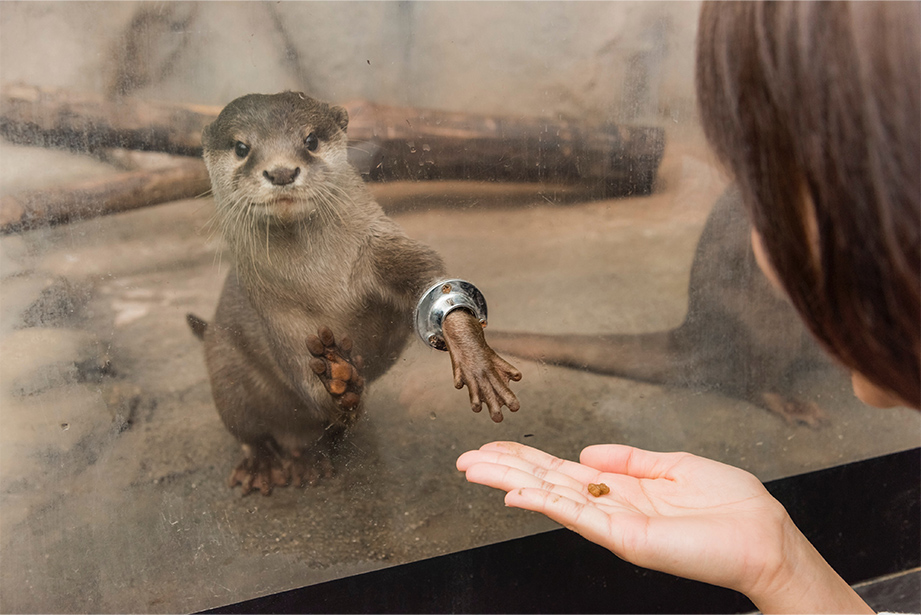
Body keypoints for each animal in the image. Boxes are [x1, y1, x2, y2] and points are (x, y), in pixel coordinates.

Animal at [189, 91, 516, 496]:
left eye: (310, 140)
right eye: (241, 147)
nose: (280, 172)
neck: (320, 282)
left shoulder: (377, 246)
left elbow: (428, 277)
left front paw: (472, 353)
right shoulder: (273, 312)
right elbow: (296, 368)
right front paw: (337, 384)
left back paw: (312, 457)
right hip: (224, 371)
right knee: (249, 431)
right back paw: (267, 464)